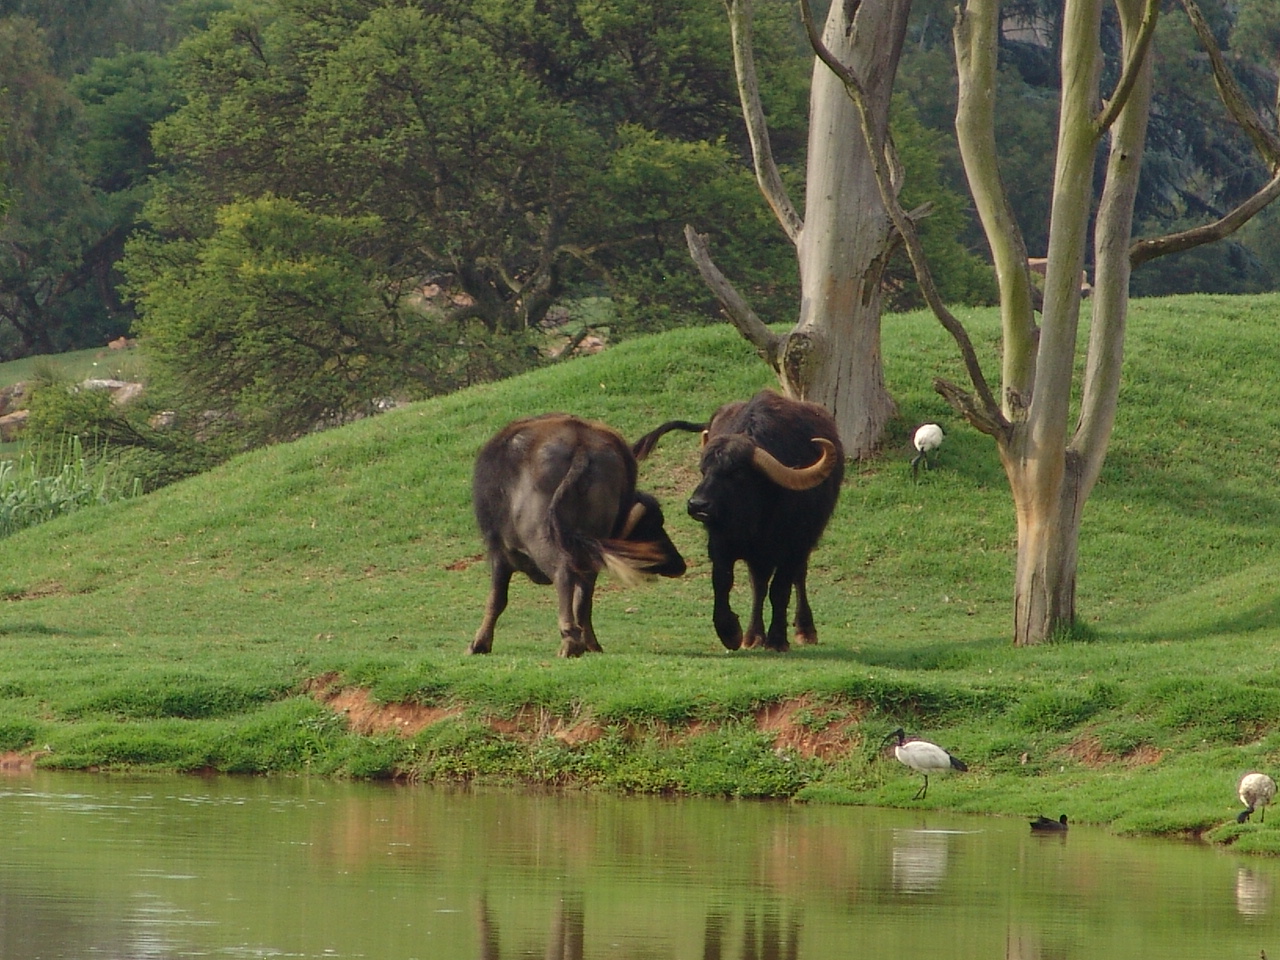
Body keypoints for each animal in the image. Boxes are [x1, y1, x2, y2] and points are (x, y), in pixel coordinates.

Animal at [470, 413, 686, 657]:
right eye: (652, 525)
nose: (679, 564)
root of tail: (580, 445)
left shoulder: (499, 554)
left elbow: (496, 599)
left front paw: (479, 644)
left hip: (542, 538)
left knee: (563, 574)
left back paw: (570, 641)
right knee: (584, 594)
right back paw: (590, 643)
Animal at [633, 391, 843, 652]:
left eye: (737, 473)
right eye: (704, 470)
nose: (697, 505)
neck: (755, 520)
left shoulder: (793, 546)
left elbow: (780, 590)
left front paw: (777, 639)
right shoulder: (721, 544)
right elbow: (723, 582)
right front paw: (731, 632)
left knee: (797, 578)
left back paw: (805, 630)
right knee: (758, 586)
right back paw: (753, 636)